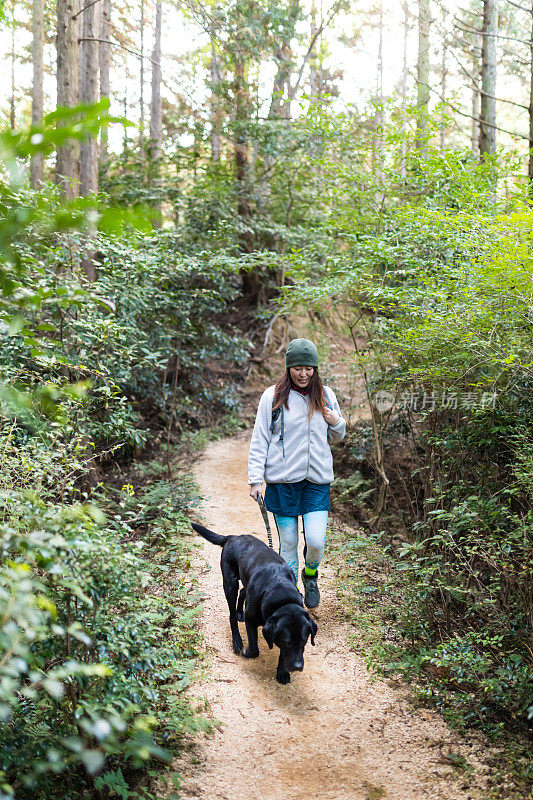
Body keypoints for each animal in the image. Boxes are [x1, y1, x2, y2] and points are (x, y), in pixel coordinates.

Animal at [191, 520, 316, 684]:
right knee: (231, 614)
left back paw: (239, 612)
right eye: (288, 642)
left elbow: (282, 655)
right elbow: (255, 649)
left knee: (243, 592)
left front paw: (282, 672)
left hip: (245, 580)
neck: (281, 596)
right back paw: (237, 639)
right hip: (230, 583)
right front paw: (246, 651)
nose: (297, 666)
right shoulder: (251, 620)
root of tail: (233, 537)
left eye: (304, 641)